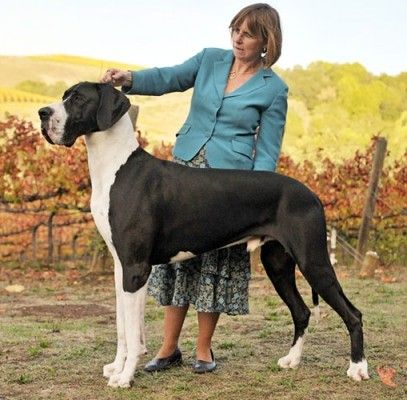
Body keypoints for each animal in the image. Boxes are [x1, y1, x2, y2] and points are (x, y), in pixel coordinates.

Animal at [38, 82, 369, 388]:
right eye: (65, 95)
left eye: (78, 99)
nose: (42, 113)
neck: (116, 167)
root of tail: (312, 194)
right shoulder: (122, 268)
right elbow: (123, 328)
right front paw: (116, 367)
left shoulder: (135, 269)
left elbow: (131, 333)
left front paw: (125, 377)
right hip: (278, 264)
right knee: (301, 312)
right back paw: (292, 360)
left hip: (314, 262)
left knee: (353, 313)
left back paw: (358, 368)